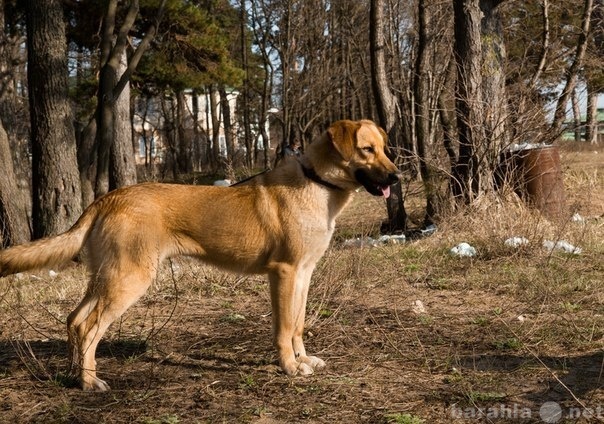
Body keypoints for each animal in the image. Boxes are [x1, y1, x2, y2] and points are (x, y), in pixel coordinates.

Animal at [0, 119, 402, 390]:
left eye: (385, 148)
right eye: (367, 150)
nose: (397, 177)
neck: (317, 183)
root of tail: (108, 198)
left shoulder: (304, 274)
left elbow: (298, 324)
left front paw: (303, 359)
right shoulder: (284, 273)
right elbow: (284, 328)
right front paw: (289, 367)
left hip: (105, 279)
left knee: (73, 319)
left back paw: (75, 376)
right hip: (128, 280)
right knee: (87, 326)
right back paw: (88, 383)